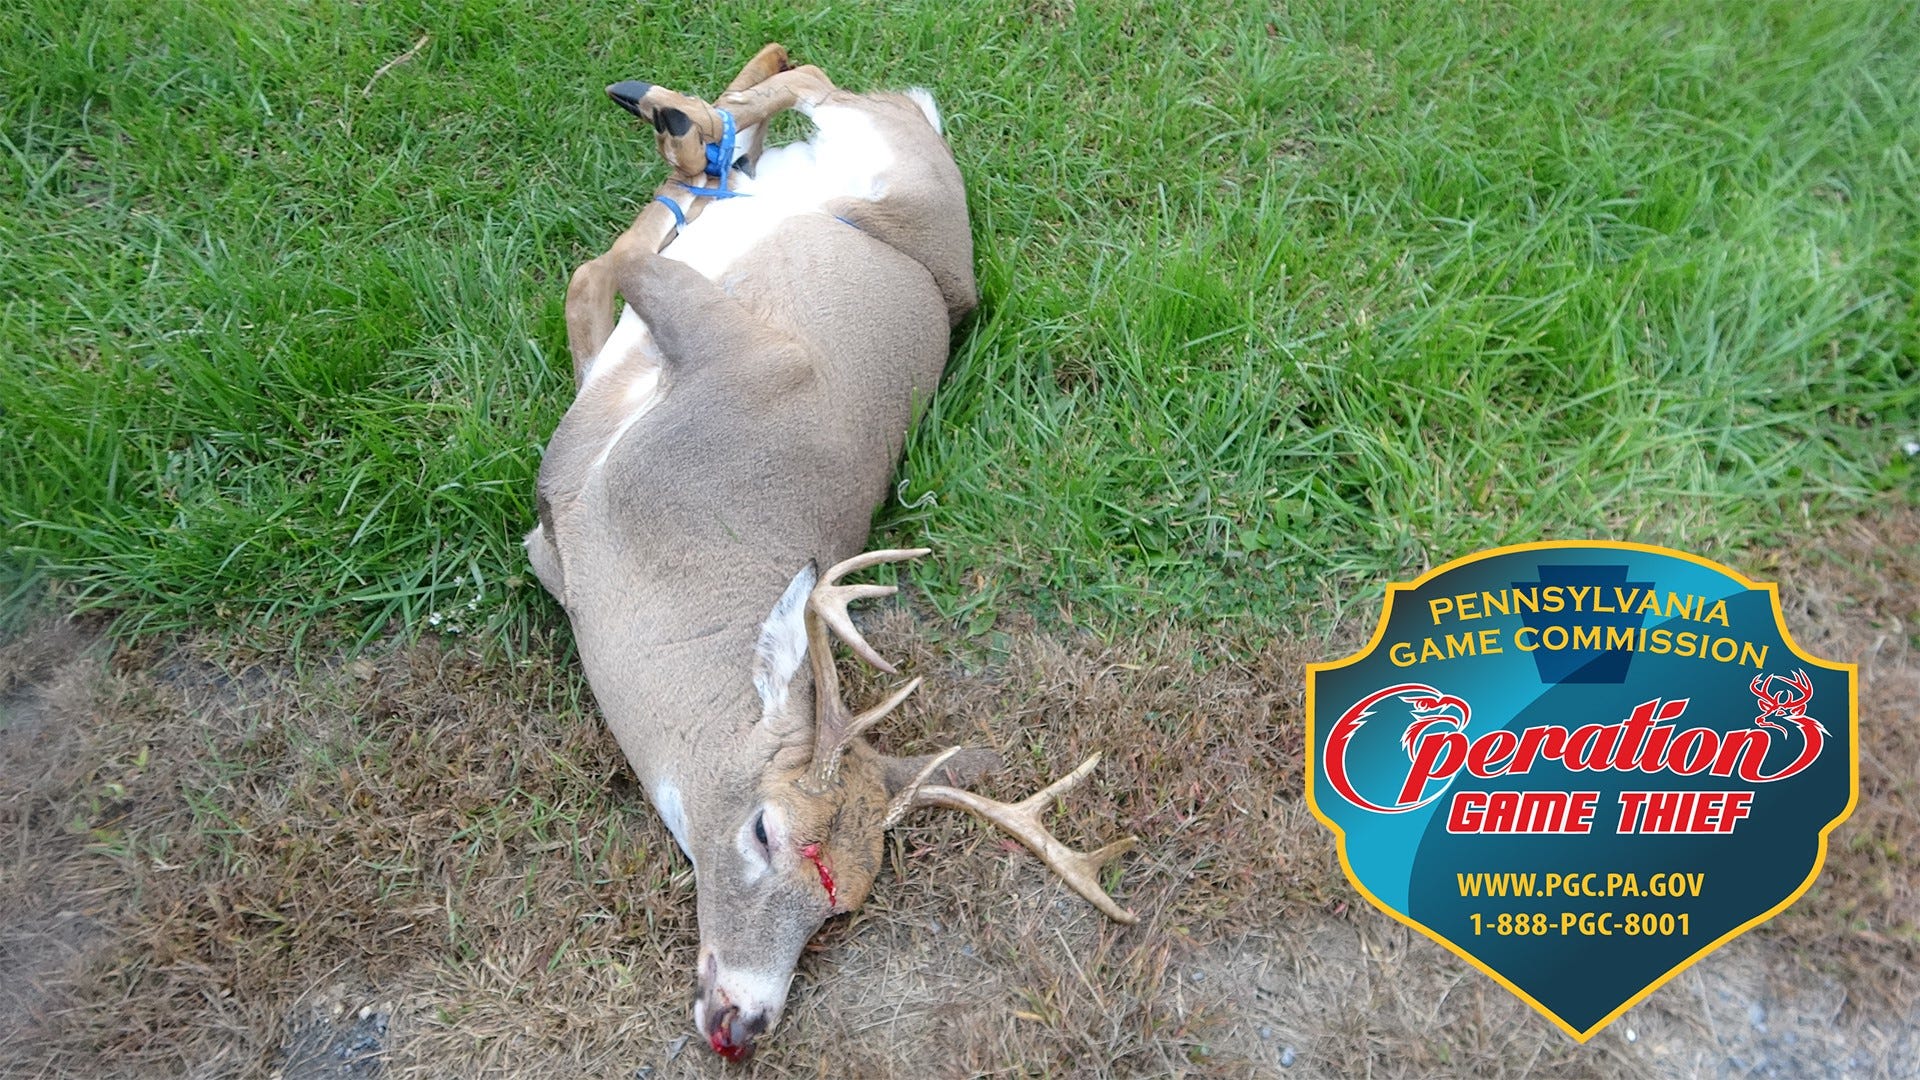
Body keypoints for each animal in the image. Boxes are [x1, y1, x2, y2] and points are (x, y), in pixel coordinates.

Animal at [523, 46, 1137, 1061]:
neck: (635, 558)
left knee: (794, 101)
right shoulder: (741, 360)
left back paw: (693, 127)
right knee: (810, 87)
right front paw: (686, 140)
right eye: (766, 832)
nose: (744, 1019)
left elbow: (598, 272)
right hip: (884, 165)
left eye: (841, 906)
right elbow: (600, 268)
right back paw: (691, 121)